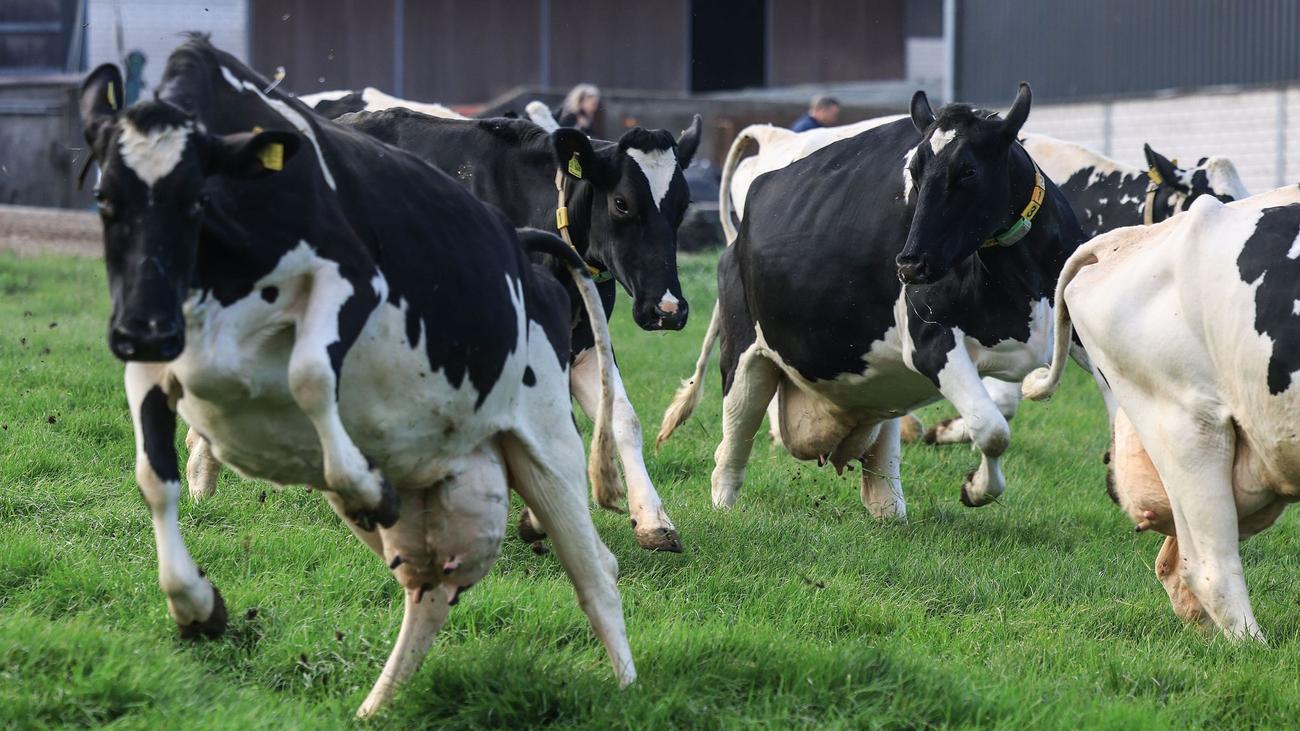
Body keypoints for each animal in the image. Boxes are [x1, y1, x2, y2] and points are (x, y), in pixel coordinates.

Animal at [78, 36, 634, 717]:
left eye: (195, 200)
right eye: (106, 199)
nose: (143, 327)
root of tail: (526, 249)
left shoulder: (351, 280)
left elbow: (311, 374)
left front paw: (360, 483)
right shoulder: (153, 353)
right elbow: (154, 480)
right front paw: (197, 606)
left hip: (547, 444)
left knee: (596, 573)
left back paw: (630, 690)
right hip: (436, 488)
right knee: (430, 592)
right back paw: (375, 706)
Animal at [327, 107, 702, 552]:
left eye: (682, 207)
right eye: (622, 203)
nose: (668, 309)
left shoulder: (584, 342)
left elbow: (623, 418)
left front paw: (651, 520)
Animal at [658, 84, 1086, 520]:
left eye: (967, 171)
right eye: (914, 173)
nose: (910, 263)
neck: (1018, 278)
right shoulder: (931, 342)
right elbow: (993, 429)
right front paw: (977, 489)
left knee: (880, 462)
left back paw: (888, 505)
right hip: (744, 354)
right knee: (731, 445)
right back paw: (721, 508)